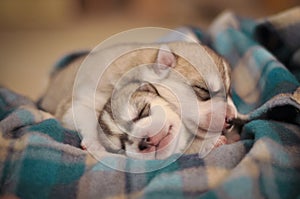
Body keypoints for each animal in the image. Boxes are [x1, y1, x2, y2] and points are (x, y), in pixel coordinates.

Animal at [38, 42, 239, 160]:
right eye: (203, 91)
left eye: (230, 92)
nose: (232, 120)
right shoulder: (80, 101)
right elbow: (84, 116)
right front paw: (94, 142)